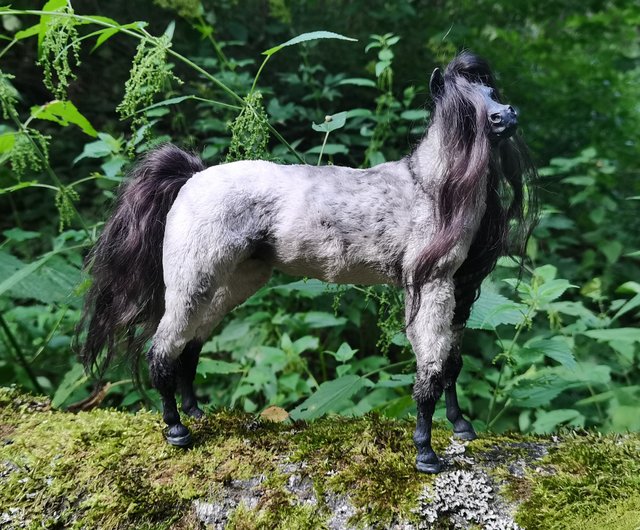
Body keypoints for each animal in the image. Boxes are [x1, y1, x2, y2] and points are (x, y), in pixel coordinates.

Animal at [78, 52, 537, 474]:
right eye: (464, 109)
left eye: (491, 91)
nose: (507, 114)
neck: (431, 189)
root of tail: (191, 176)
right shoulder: (429, 286)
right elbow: (432, 371)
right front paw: (426, 453)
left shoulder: (460, 289)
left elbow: (452, 364)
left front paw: (462, 427)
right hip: (191, 283)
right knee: (162, 350)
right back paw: (176, 429)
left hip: (233, 282)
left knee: (190, 345)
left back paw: (195, 413)